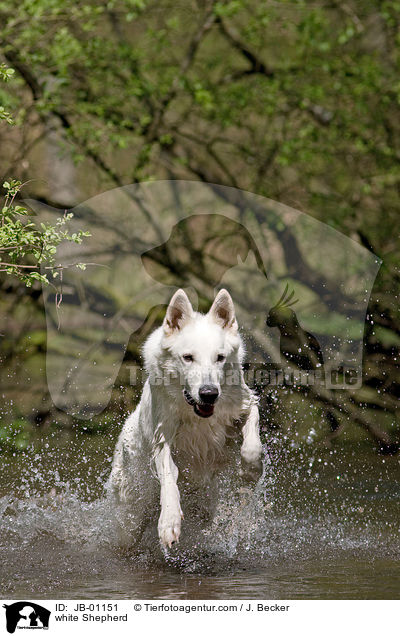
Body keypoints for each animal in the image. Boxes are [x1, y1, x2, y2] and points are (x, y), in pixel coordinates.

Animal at [108, 288, 264, 548]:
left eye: (220, 358)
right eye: (188, 357)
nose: (209, 393)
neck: (197, 416)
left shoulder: (246, 403)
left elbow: (252, 445)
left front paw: (251, 472)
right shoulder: (162, 440)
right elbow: (169, 481)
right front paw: (169, 523)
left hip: (204, 506)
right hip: (129, 524)